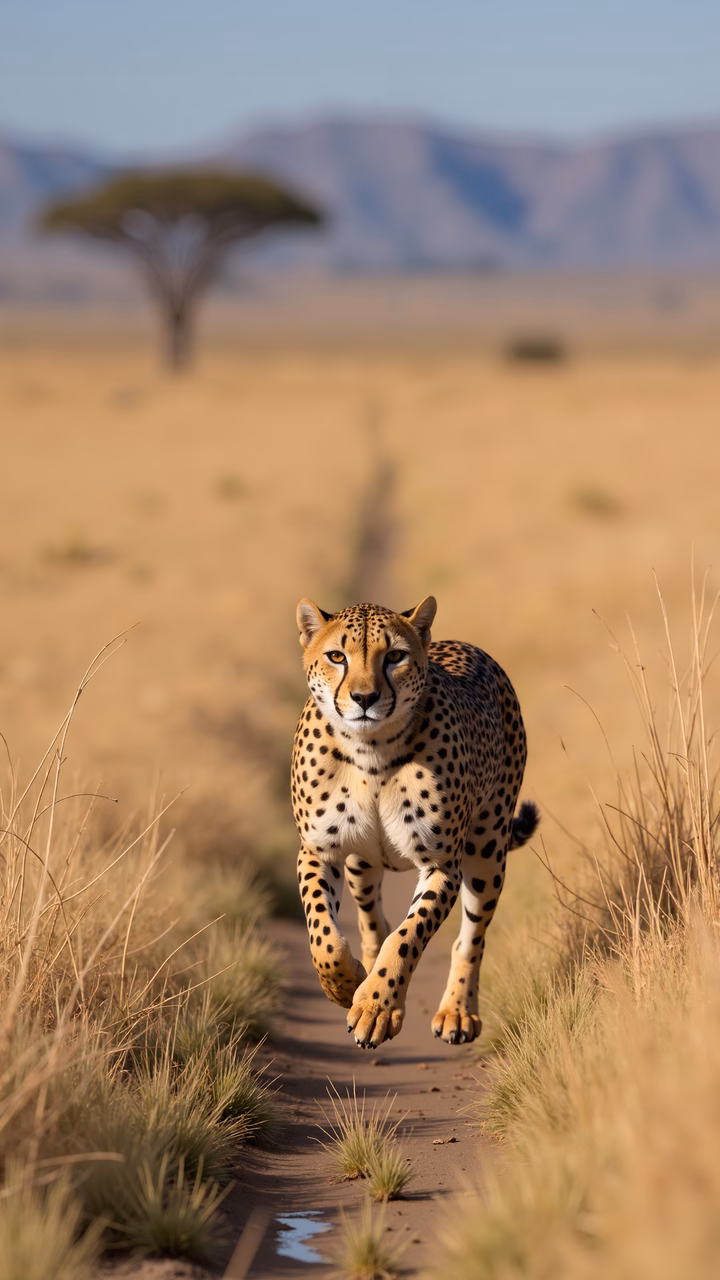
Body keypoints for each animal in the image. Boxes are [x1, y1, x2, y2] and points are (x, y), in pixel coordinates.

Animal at [291, 595, 538, 1049]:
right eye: (337, 656)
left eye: (395, 657)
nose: (364, 697)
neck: (371, 750)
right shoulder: (320, 852)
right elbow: (324, 936)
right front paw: (346, 985)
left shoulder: (443, 865)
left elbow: (408, 937)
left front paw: (375, 1008)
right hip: (362, 864)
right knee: (373, 918)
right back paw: (364, 973)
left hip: (487, 852)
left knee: (469, 938)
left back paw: (457, 1012)